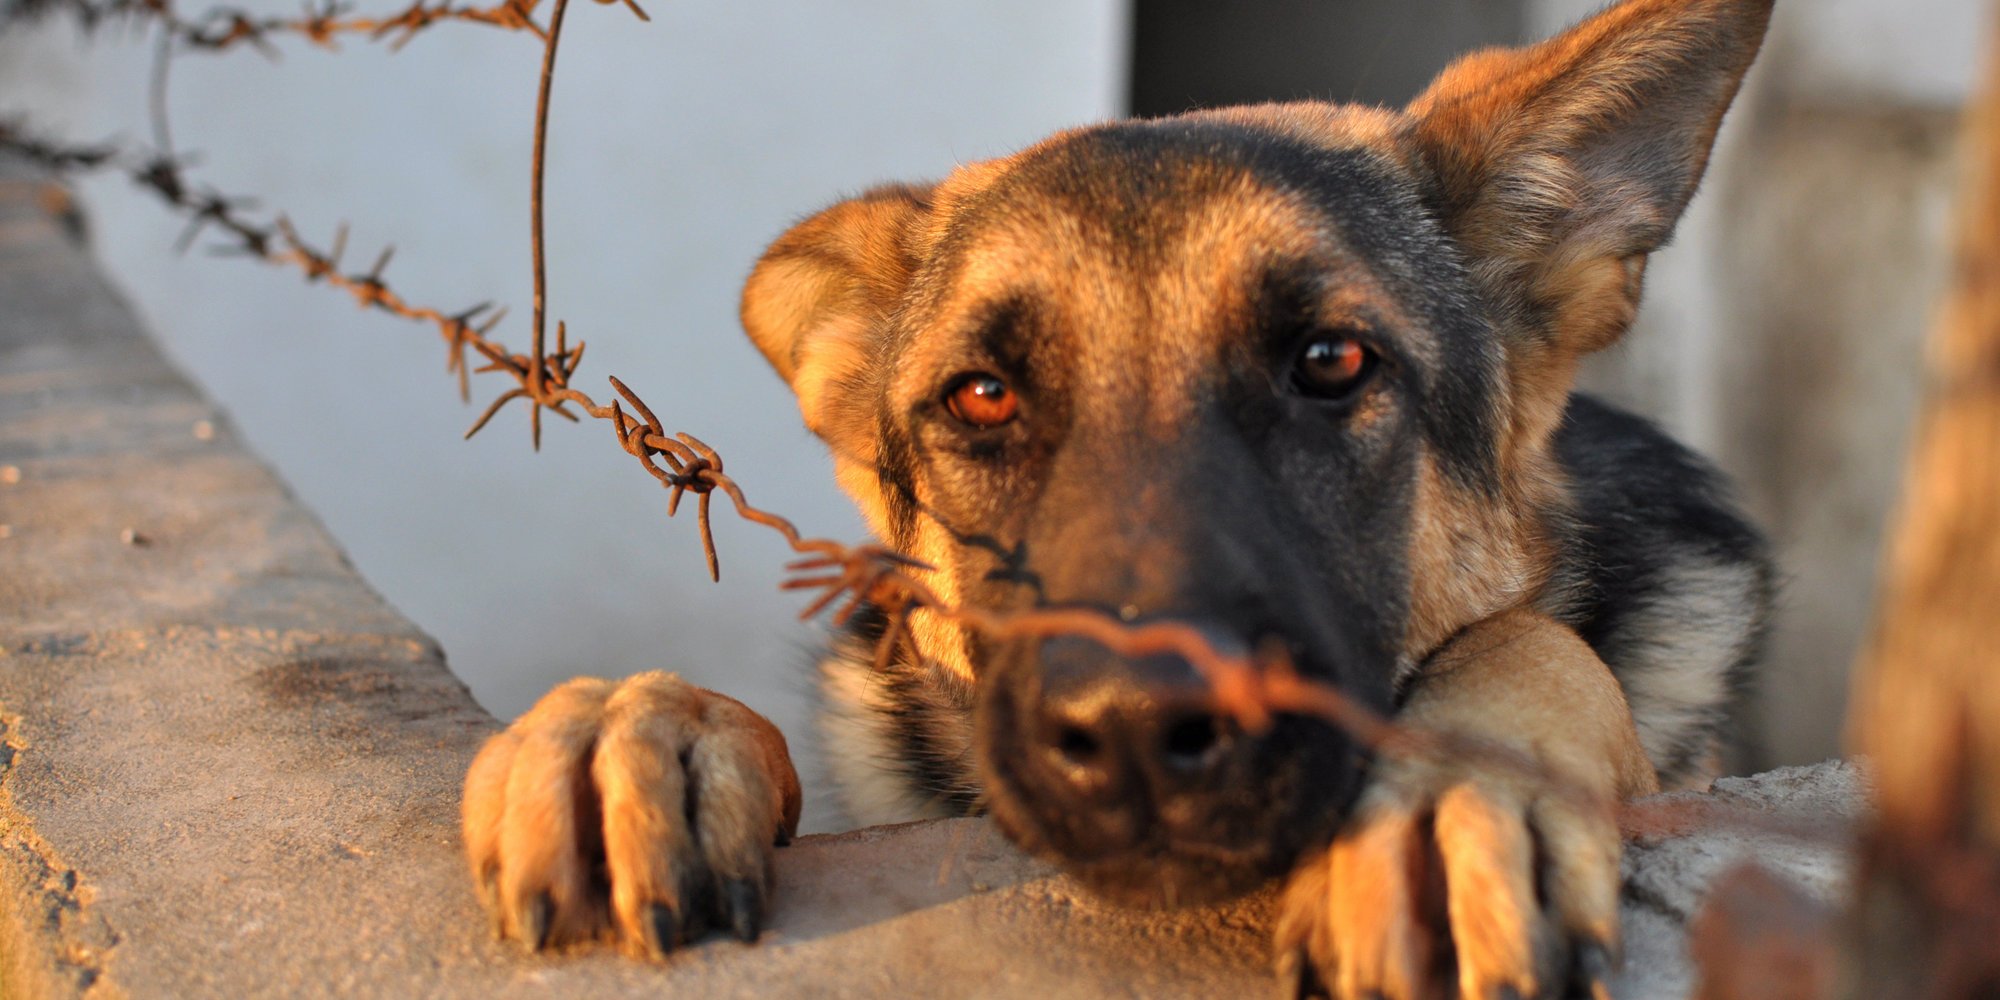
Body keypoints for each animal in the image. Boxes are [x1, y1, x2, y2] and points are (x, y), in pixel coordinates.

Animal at [464, 1, 1784, 992]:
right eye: (982, 396)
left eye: (1330, 361)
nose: (1139, 730)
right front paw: (636, 717)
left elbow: (1527, 644)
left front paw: (1455, 784)